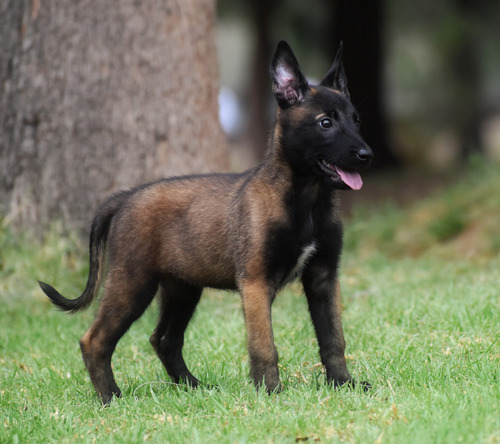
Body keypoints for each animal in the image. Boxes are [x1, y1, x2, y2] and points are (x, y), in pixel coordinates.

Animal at [39, 40, 372, 404]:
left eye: (356, 120)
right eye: (326, 123)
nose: (367, 155)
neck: (306, 200)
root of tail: (126, 197)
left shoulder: (323, 278)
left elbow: (333, 339)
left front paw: (344, 384)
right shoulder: (256, 283)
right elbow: (264, 346)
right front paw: (270, 393)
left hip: (182, 290)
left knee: (164, 340)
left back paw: (193, 387)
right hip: (133, 282)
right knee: (95, 339)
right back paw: (111, 398)